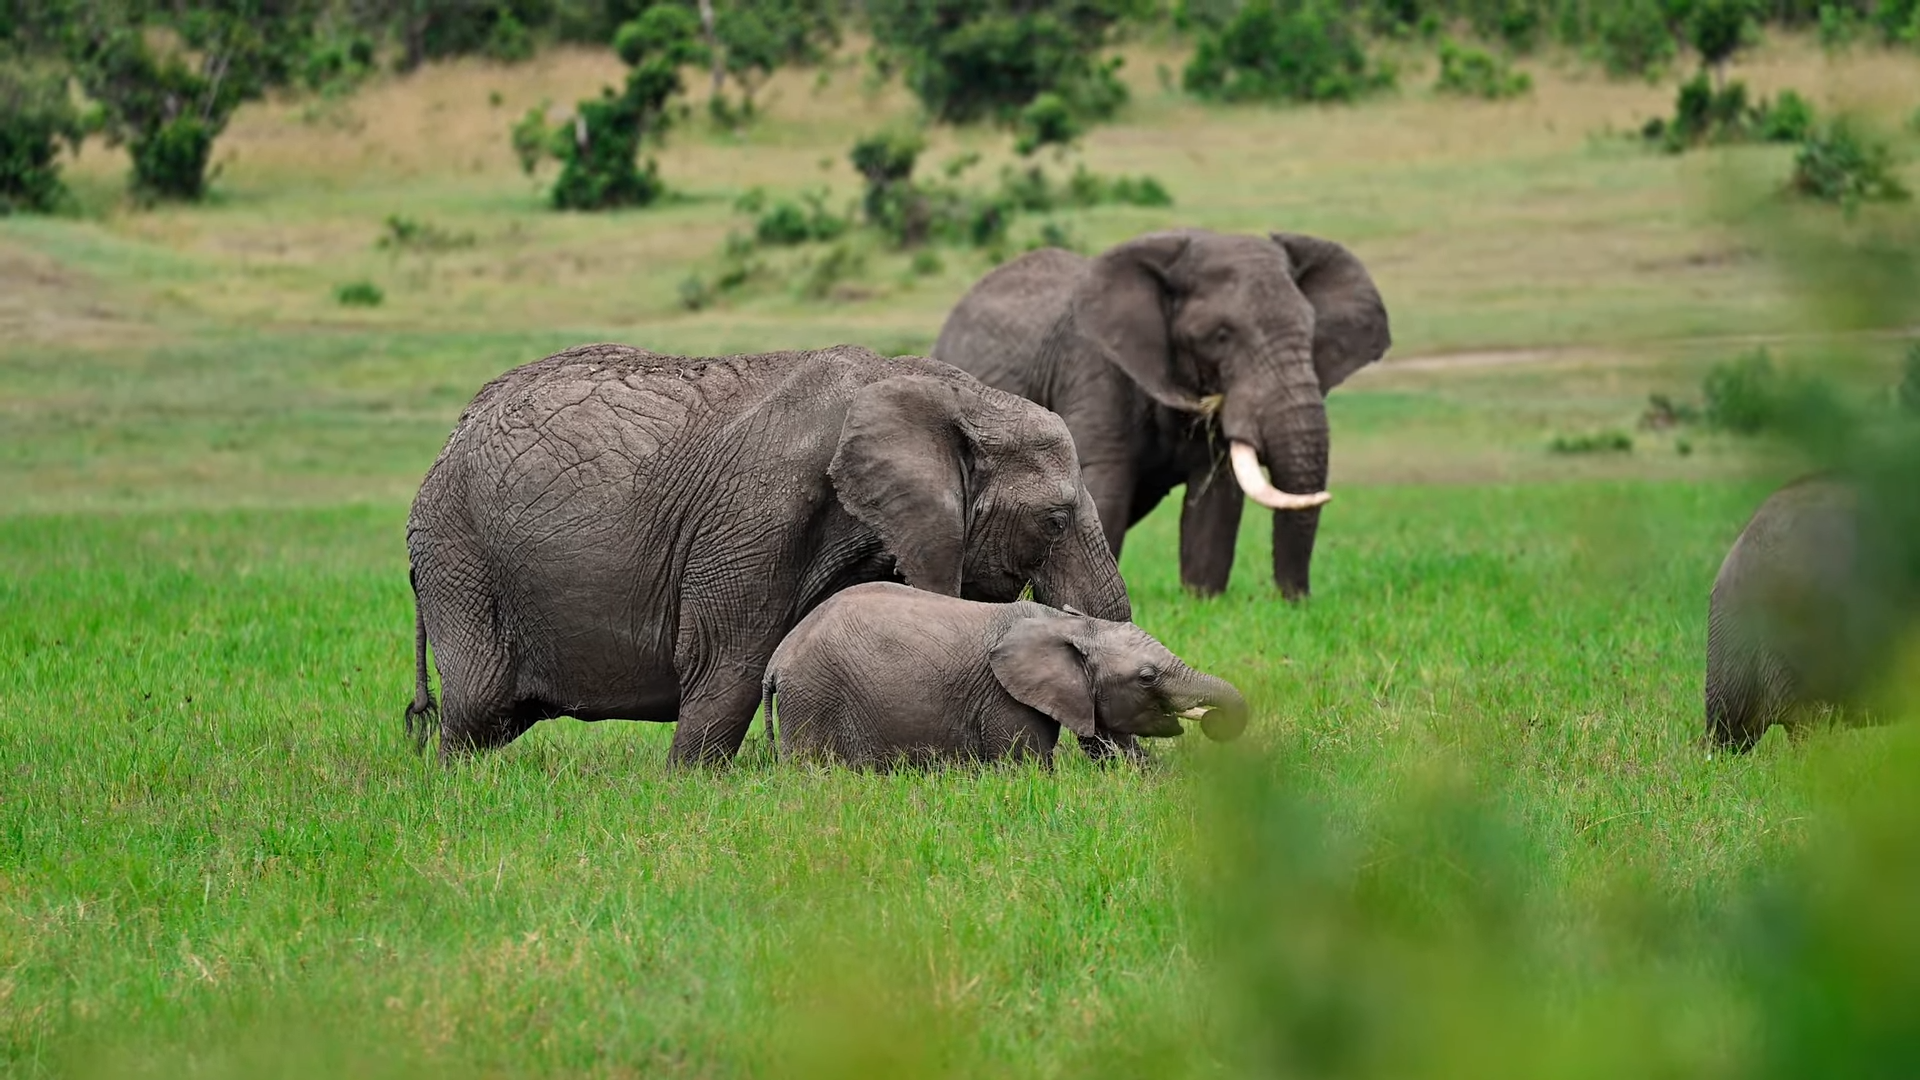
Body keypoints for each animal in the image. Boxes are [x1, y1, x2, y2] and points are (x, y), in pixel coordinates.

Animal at [401, 340, 1121, 760]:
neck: (938, 389)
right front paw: (691, 789)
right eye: (1056, 521)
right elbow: (726, 662)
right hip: (457, 551)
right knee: (479, 710)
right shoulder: (760, 514)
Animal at [756, 580, 1251, 764]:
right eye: (1147, 677)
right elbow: (1024, 767)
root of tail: (777, 661)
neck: (1065, 623)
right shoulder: (1003, 697)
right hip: (815, 696)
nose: (1213, 719)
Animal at [925, 227, 1390, 595]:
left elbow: (1215, 501)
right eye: (1221, 336)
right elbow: (1106, 485)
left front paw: (1202, 600)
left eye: (1311, 333)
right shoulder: (1094, 367)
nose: (1294, 601)